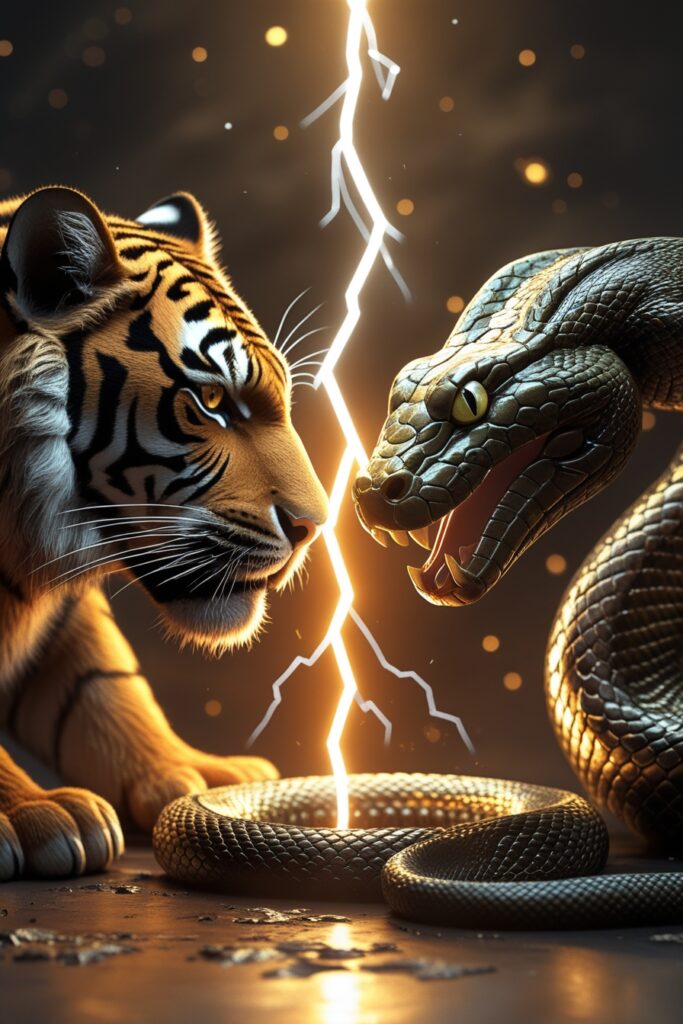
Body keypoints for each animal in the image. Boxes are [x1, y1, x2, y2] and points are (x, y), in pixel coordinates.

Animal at [0, 185, 328, 881]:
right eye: (211, 400)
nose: (314, 527)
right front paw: (34, 813)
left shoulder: (60, 608)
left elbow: (103, 688)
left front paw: (194, 777)